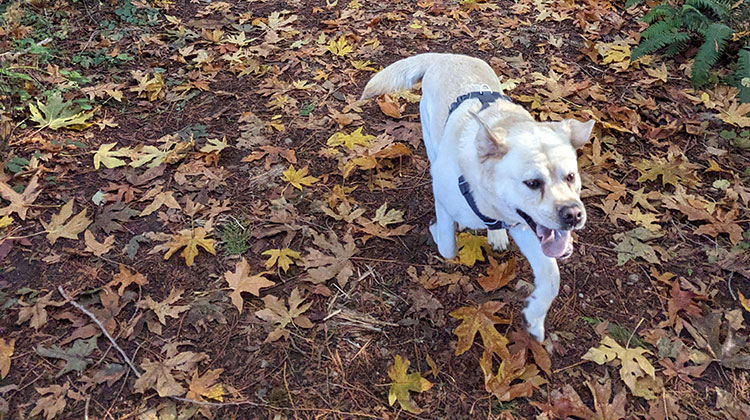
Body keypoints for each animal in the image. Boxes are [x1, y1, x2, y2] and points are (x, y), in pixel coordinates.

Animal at [362, 53, 596, 342]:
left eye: (571, 177)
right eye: (532, 183)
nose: (573, 215)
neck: (489, 199)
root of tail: (446, 55)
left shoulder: (522, 225)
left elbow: (551, 276)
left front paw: (534, 318)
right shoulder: (445, 198)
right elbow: (448, 247)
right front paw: (438, 231)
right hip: (430, 138)